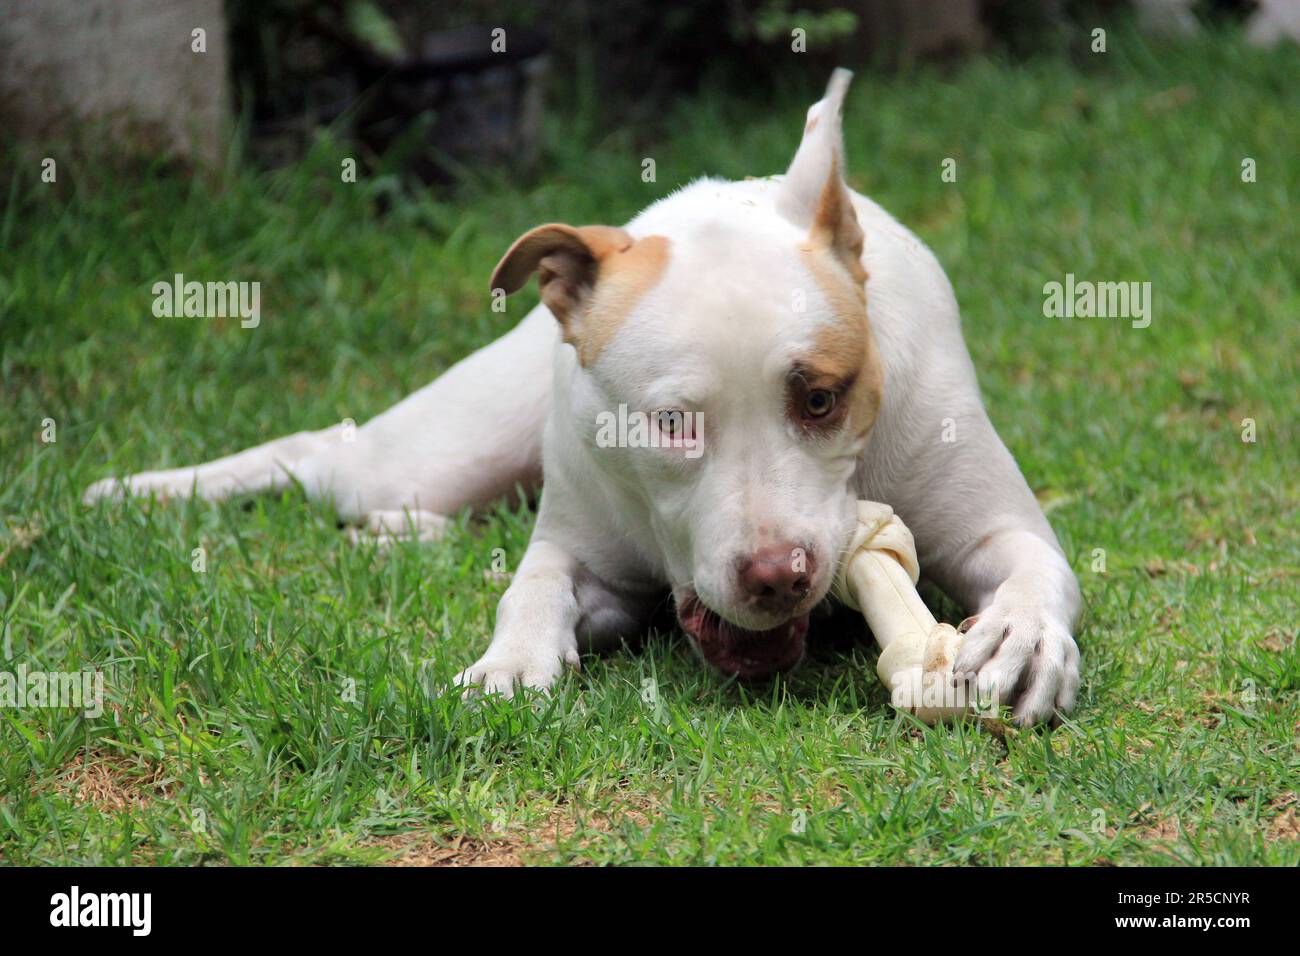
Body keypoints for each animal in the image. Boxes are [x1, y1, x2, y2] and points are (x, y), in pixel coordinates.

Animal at [76, 70, 1081, 723]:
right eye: (670, 424)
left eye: (821, 401)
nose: (778, 576)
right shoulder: (583, 549)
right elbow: (533, 585)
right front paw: (512, 662)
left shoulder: (994, 524)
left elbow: (1035, 566)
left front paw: (1022, 637)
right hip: (436, 450)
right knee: (323, 454)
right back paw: (133, 491)